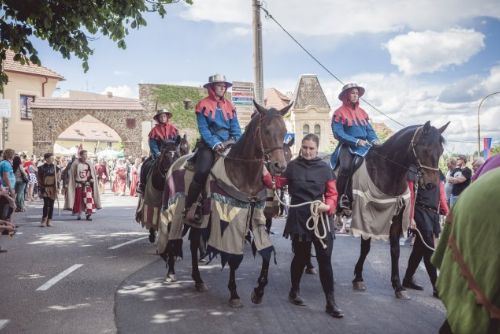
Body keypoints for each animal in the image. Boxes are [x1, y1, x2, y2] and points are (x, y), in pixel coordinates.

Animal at [159, 102, 292, 308]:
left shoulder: (257, 219)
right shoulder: (228, 220)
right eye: (267, 131)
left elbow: (266, 253)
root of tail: (174, 163)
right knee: (172, 239)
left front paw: (259, 291)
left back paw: (198, 280)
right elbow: (233, 259)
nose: (280, 166)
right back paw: (171, 272)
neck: (243, 172)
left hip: (199, 221)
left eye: (284, 131)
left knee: (194, 244)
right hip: (174, 212)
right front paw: (234, 293)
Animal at [344, 121, 450, 298]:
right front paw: (358, 278)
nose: (431, 184)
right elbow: (365, 248)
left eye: (441, 151)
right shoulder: (366, 216)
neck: (386, 170)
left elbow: (395, 251)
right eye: (425, 148)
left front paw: (398, 286)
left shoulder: (397, 219)